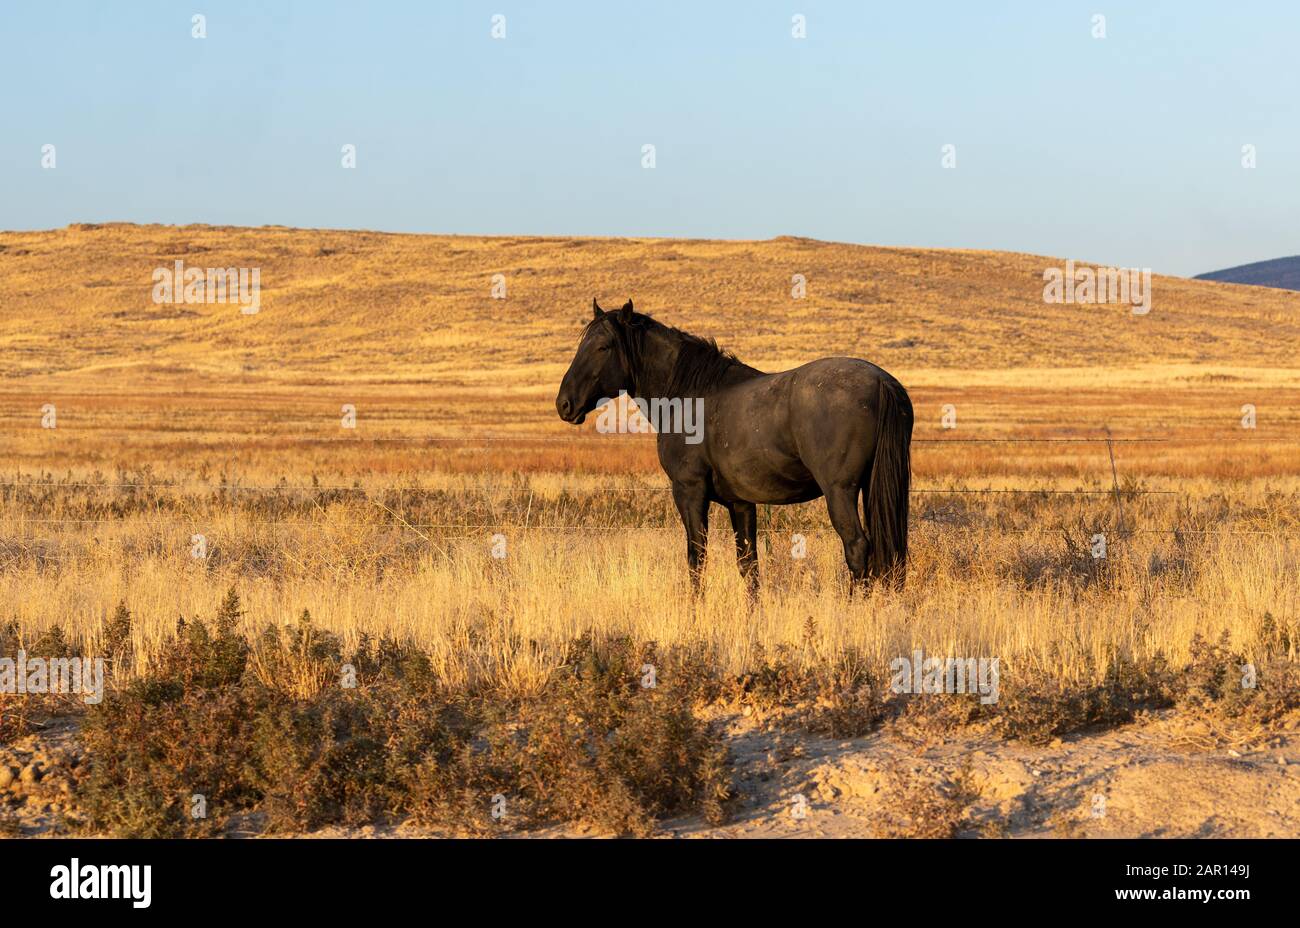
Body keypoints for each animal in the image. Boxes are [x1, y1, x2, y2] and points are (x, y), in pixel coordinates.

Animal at [555, 299, 913, 592]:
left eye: (603, 347)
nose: (564, 404)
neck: (690, 394)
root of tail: (880, 381)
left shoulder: (689, 492)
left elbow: (696, 559)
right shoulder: (740, 503)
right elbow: (748, 566)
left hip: (840, 492)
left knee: (857, 548)